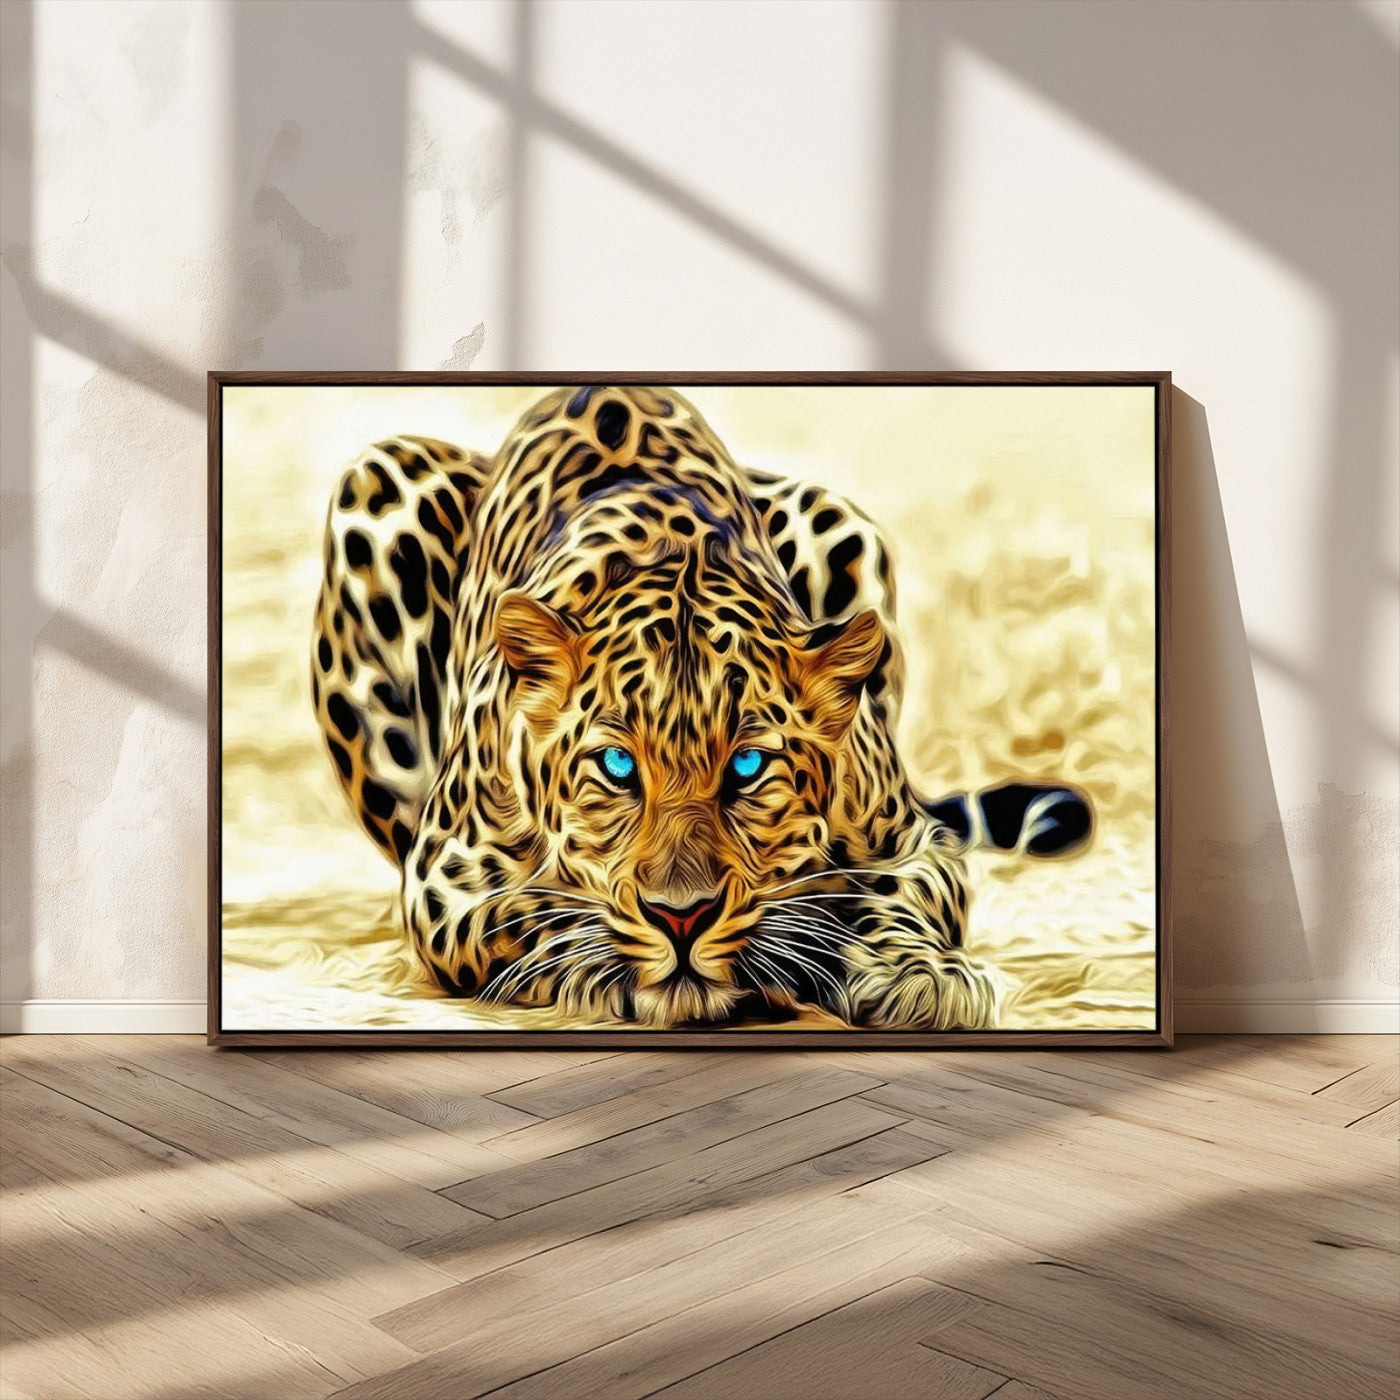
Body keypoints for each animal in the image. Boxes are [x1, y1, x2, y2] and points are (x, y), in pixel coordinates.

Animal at [310, 384, 1091, 1029]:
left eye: (747, 767)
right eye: (617, 766)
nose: (681, 919)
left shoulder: (912, 842)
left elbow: (895, 897)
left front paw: (920, 974)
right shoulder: (446, 877)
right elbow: (536, 911)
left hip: (837, 518)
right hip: (378, 481)